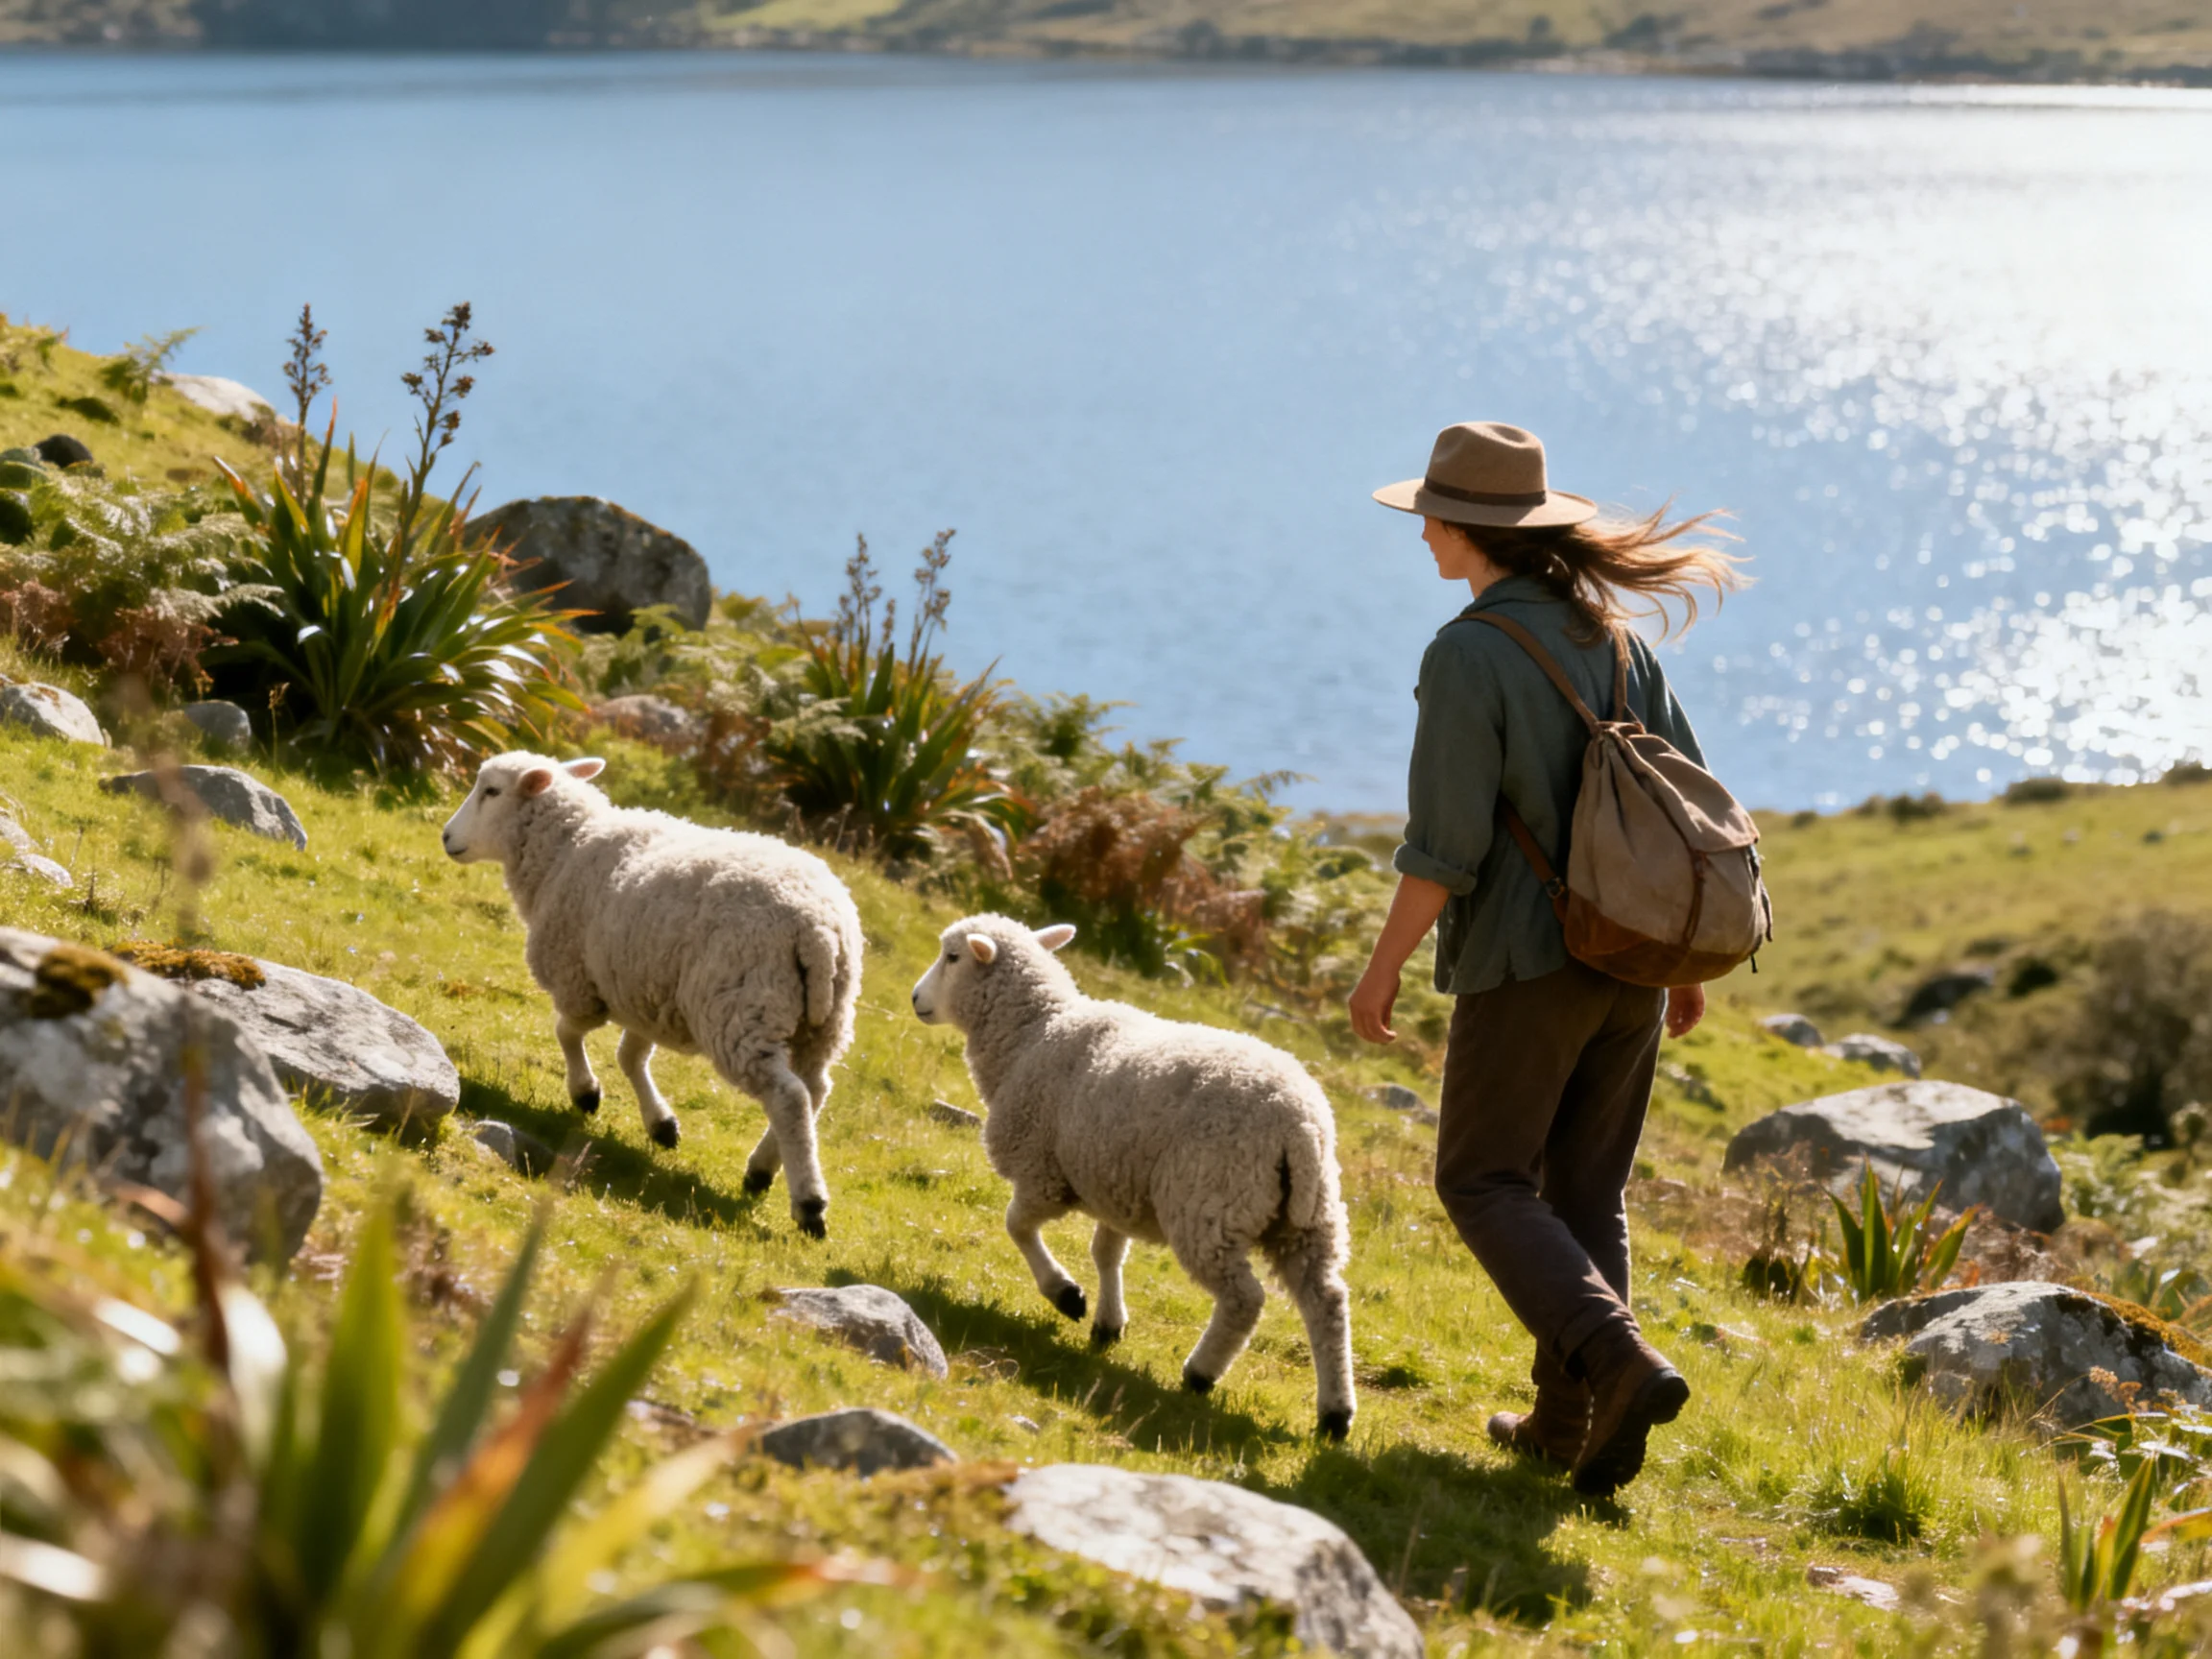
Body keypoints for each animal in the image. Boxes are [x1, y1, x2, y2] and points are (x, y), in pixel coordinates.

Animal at [441, 752, 863, 1237]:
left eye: (491, 791)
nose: (447, 837)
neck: (564, 849)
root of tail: (819, 930)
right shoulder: (644, 992)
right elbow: (631, 1057)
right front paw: (661, 1125)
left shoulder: (581, 983)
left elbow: (568, 1032)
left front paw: (586, 1093)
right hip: (822, 1020)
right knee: (815, 1090)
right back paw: (761, 1170)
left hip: (741, 1009)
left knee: (789, 1097)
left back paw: (808, 1204)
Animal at [910, 912, 1357, 1440]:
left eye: (952, 957)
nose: (915, 998)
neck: (1033, 1032)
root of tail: (1301, 1126)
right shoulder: (1113, 1181)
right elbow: (1106, 1252)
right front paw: (1108, 1323)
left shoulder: (1044, 1174)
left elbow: (1017, 1226)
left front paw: (1067, 1295)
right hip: (1308, 1218)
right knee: (1327, 1302)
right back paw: (1335, 1414)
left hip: (1210, 1203)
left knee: (1244, 1301)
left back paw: (1201, 1373)